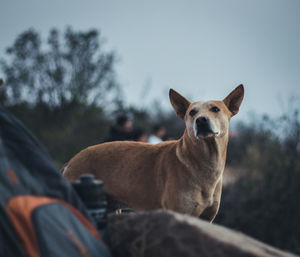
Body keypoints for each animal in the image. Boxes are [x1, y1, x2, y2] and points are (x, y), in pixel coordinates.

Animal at [63, 84, 244, 220]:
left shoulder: (207, 218)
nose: (201, 120)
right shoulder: (177, 213)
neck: (205, 161)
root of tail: (71, 161)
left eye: (215, 109)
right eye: (192, 113)